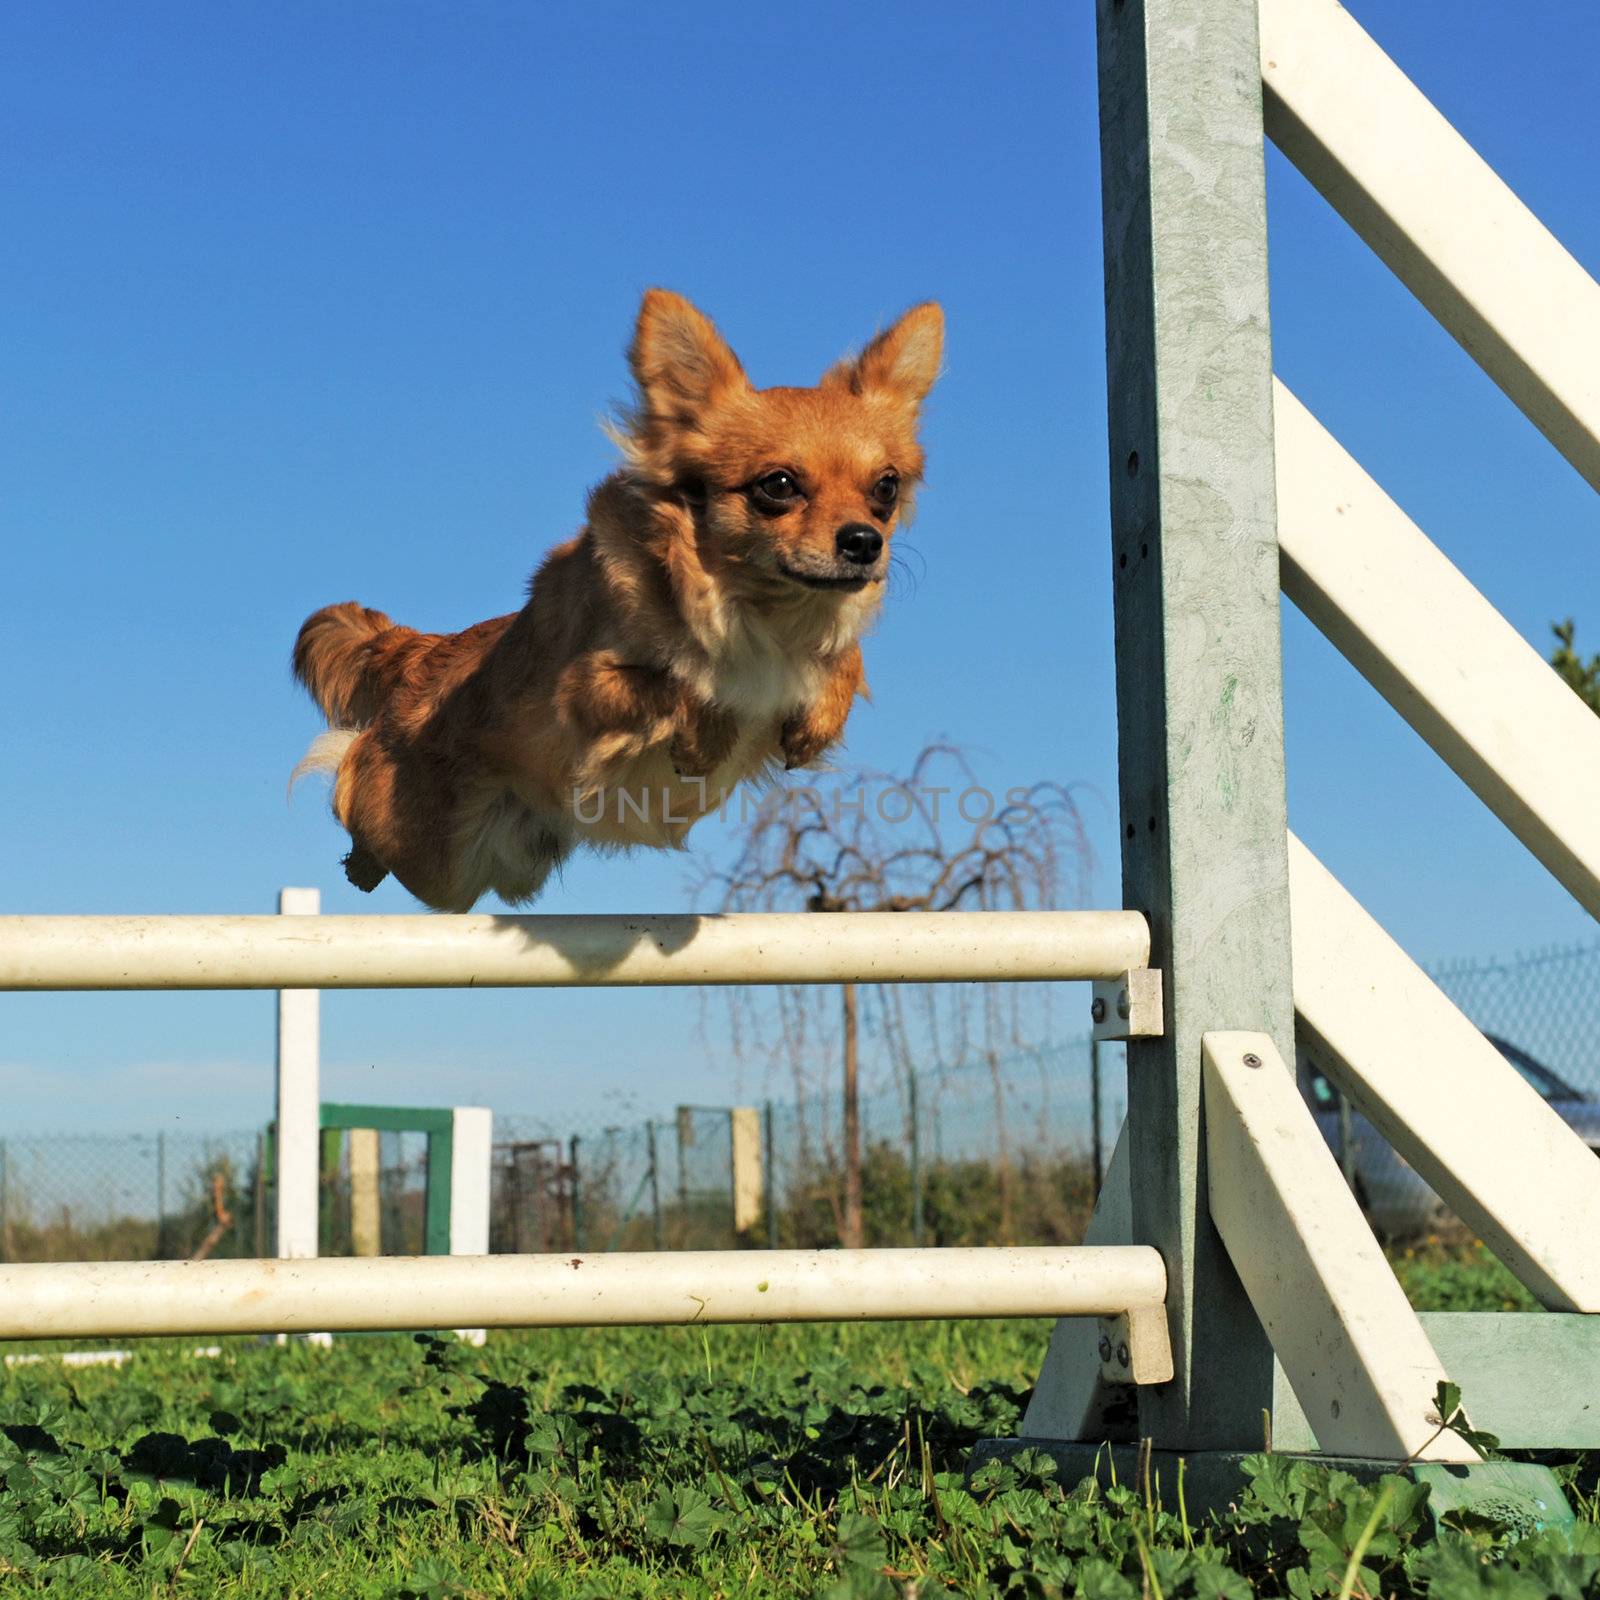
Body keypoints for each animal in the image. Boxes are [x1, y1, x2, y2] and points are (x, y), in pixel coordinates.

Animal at [294, 292, 940, 908]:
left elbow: (846, 659)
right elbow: (675, 684)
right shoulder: (582, 690)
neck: (763, 618)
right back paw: (360, 854)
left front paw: (819, 721)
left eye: (885, 488)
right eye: (778, 486)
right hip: (428, 851)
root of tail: (424, 652)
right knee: (353, 779)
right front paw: (708, 734)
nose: (865, 541)